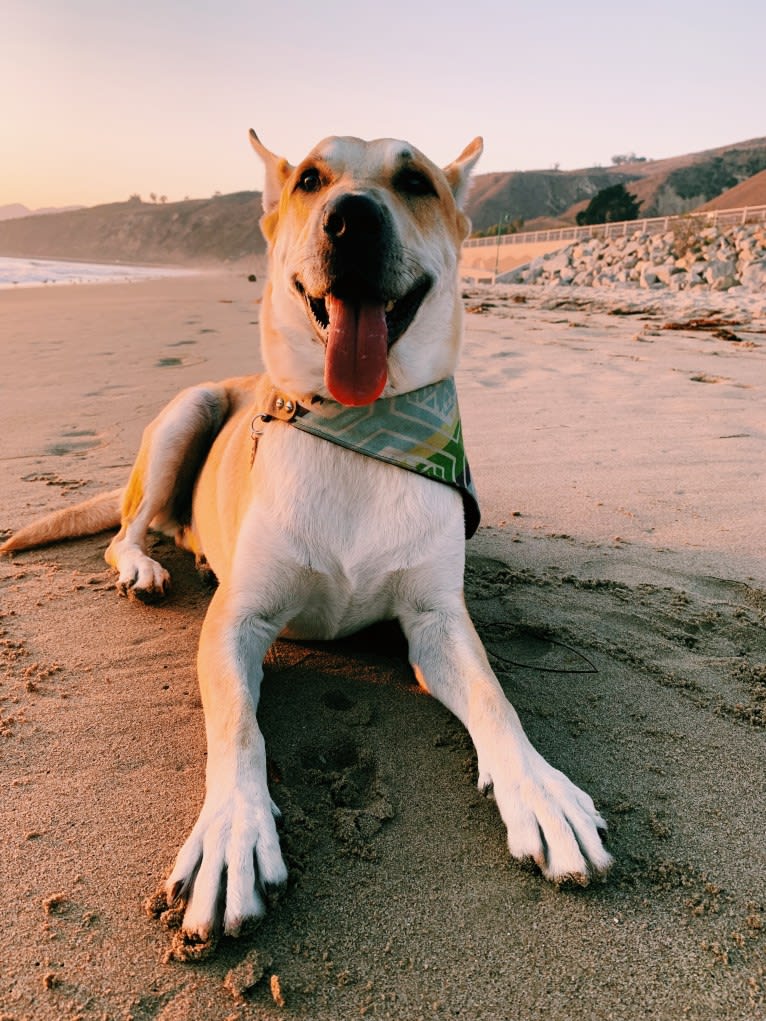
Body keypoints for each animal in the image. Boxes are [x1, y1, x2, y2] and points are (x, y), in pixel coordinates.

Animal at [0, 131, 612, 951]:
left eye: (416, 182)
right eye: (311, 179)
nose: (351, 220)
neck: (362, 426)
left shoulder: (436, 622)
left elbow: (494, 697)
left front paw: (541, 790)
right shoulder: (236, 621)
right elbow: (238, 730)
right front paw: (233, 833)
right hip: (188, 412)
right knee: (126, 529)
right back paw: (144, 566)